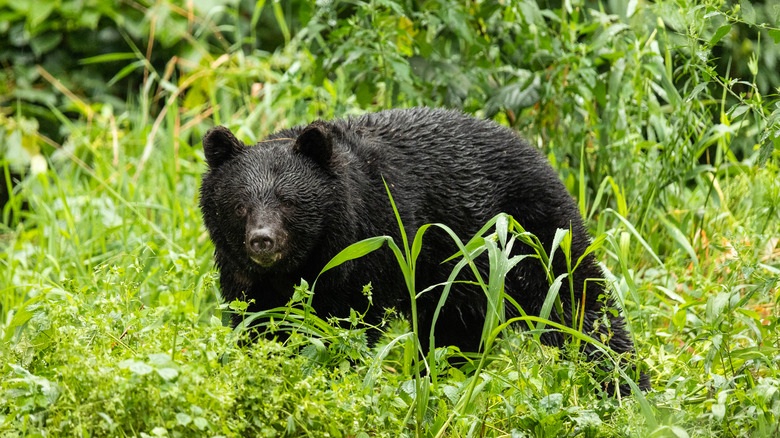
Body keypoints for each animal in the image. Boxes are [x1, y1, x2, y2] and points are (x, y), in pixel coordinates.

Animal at [199, 107, 650, 392]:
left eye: (288, 201)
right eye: (239, 205)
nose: (262, 240)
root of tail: (540, 154)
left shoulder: (372, 244)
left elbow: (348, 322)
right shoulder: (247, 276)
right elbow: (256, 322)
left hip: (532, 233)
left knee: (579, 302)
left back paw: (626, 385)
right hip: (463, 276)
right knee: (454, 332)